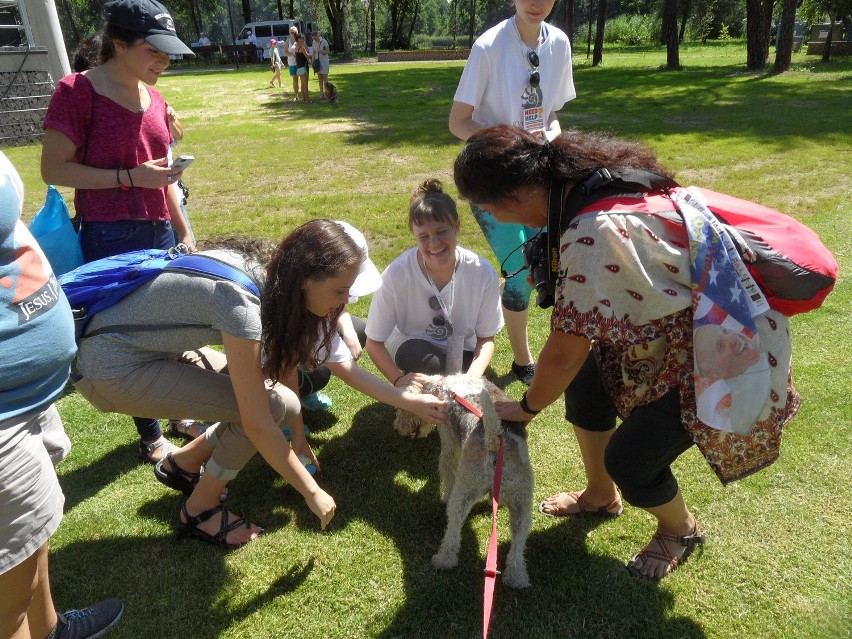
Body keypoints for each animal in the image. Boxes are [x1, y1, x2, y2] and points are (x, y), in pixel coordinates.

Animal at [392, 376, 532, 592]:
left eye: (402, 408)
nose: (397, 427)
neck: (442, 386)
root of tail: (494, 439)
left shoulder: (448, 444)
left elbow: (447, 469)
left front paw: (443, 495)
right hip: (522, 503)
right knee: (518, 544)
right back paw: (517, 578)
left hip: (464, 491)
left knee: (453, 529)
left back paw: (443, 560)